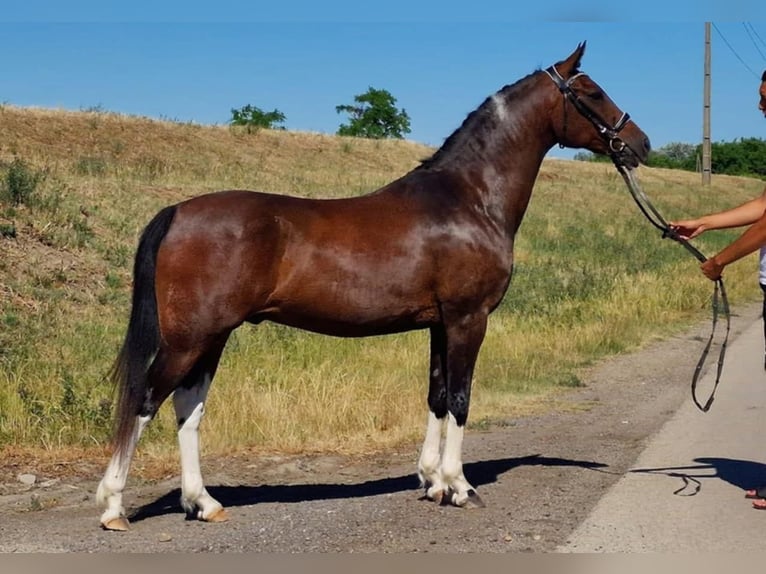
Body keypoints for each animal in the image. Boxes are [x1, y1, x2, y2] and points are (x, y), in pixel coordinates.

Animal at [96, 42, 650, 531]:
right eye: (594, 91)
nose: (641, 144)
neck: (470, 198)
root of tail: (179, 211)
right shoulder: (468, 318)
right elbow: (461, 398)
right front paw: (460, 486)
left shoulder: (438, 324)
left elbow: (436, 395)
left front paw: (431, 482)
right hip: (190, 338)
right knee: (145, 402)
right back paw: (113, 507)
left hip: (211, 337)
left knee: (187, 409)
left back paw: (203, 503)